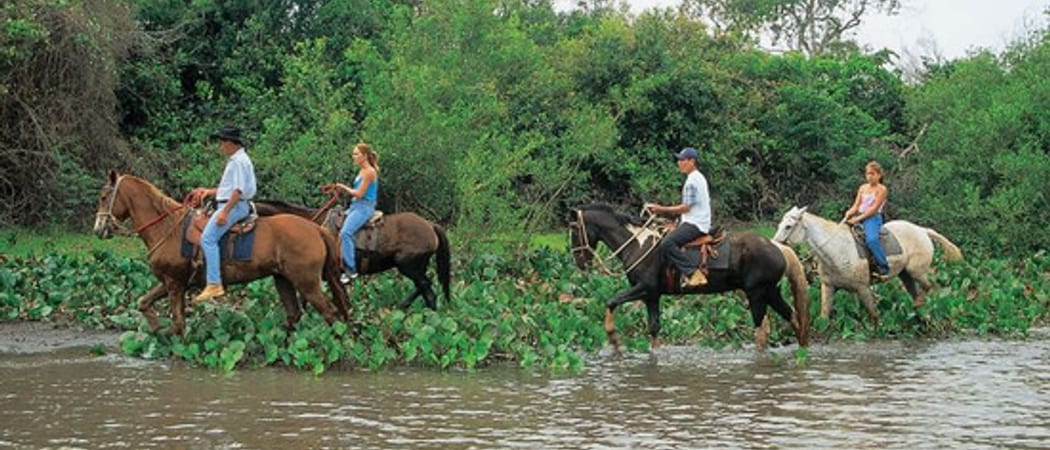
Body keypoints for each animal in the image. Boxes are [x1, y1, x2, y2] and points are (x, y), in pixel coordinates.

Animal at [92, 170, 350, 335]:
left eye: (104, 197)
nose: (98, 229)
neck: (167, 228)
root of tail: (316, 229)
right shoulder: (171, 283)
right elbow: (144, 303)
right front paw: (156, 332)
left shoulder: (174, 284)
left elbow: (178, 325)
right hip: (283, 279)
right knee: (294, 315)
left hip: (307, 283)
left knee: (331, 314)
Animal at [569, 204, 810, 351]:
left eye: (574, 231)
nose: (580, 262)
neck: (638, 244)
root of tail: (778, 247)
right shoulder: (651, 295)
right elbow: (653, 328)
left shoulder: (644, 287)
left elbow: (611, 301)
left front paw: (614, 339)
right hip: (771, 291)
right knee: (793, 317)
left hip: (757, 293)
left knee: (762, 329)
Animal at [773, 206, 963, 321]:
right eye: (780, 224)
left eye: (788, 226)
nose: (775, 247)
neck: (837, 251)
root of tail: (922, 230)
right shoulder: (828, 287)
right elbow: (823, 317)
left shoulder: (863, 288)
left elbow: (874, 316)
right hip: (905, 275)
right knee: (918, 292)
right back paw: (920, 311)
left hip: (917, 271)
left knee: (931, 287)